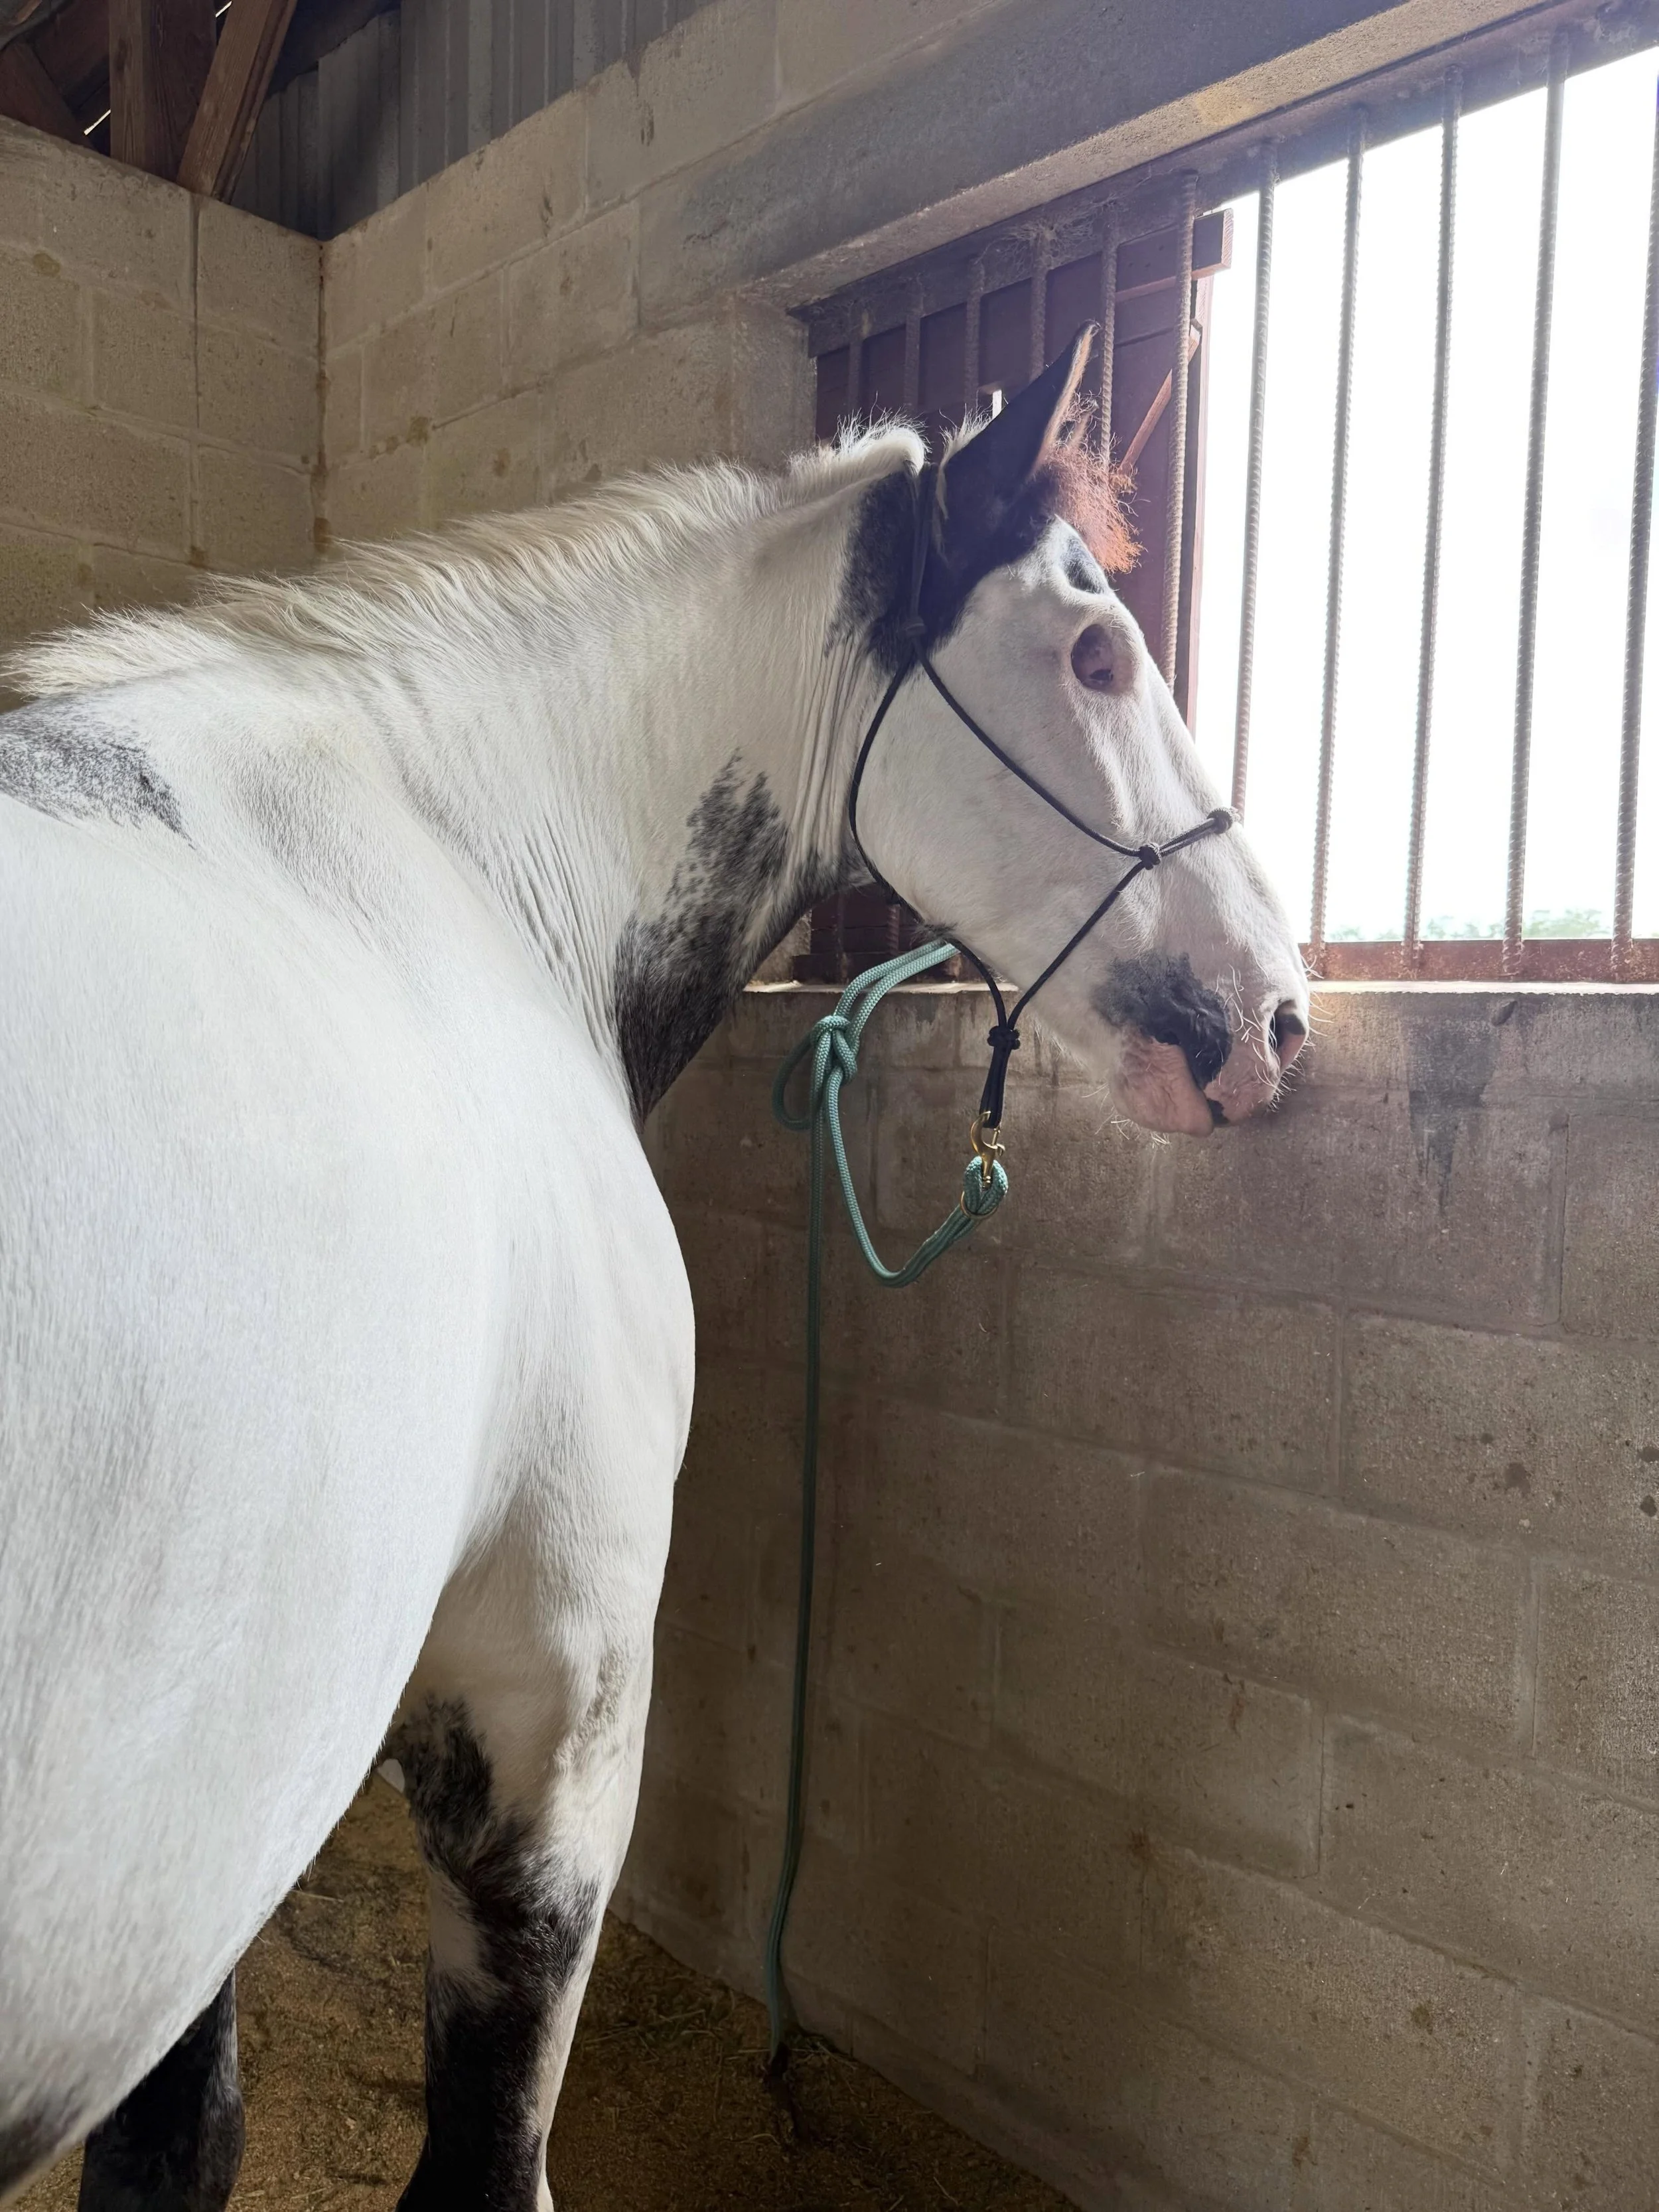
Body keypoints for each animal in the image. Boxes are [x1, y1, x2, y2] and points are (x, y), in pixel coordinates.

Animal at [0, 328, 1307, 2211]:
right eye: (1096, 651)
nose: (1276, 1011)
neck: (453, 873)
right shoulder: (556, 1704)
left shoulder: (206, 1836)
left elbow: (185, 2146)